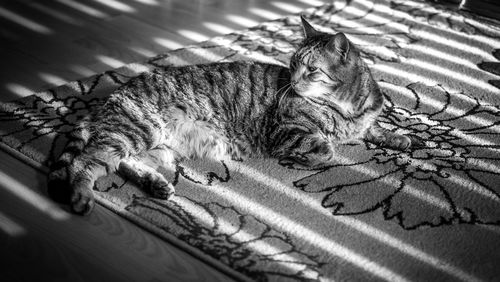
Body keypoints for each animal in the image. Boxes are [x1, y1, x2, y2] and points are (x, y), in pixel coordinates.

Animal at [47, 16, 422, 214]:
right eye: (292, 65)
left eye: (312, 69)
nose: (294, 82)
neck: (347, 106)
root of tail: (108, 99)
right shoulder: (287, 132)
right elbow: (327, 149)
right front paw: (316, 155)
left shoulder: (365, 119)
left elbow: (375, 129)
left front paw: (399, 137)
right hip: (140, 129)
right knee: (86, 161)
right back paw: (81, 196)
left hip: (156, 146)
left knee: (121, 161)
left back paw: (155, 184)